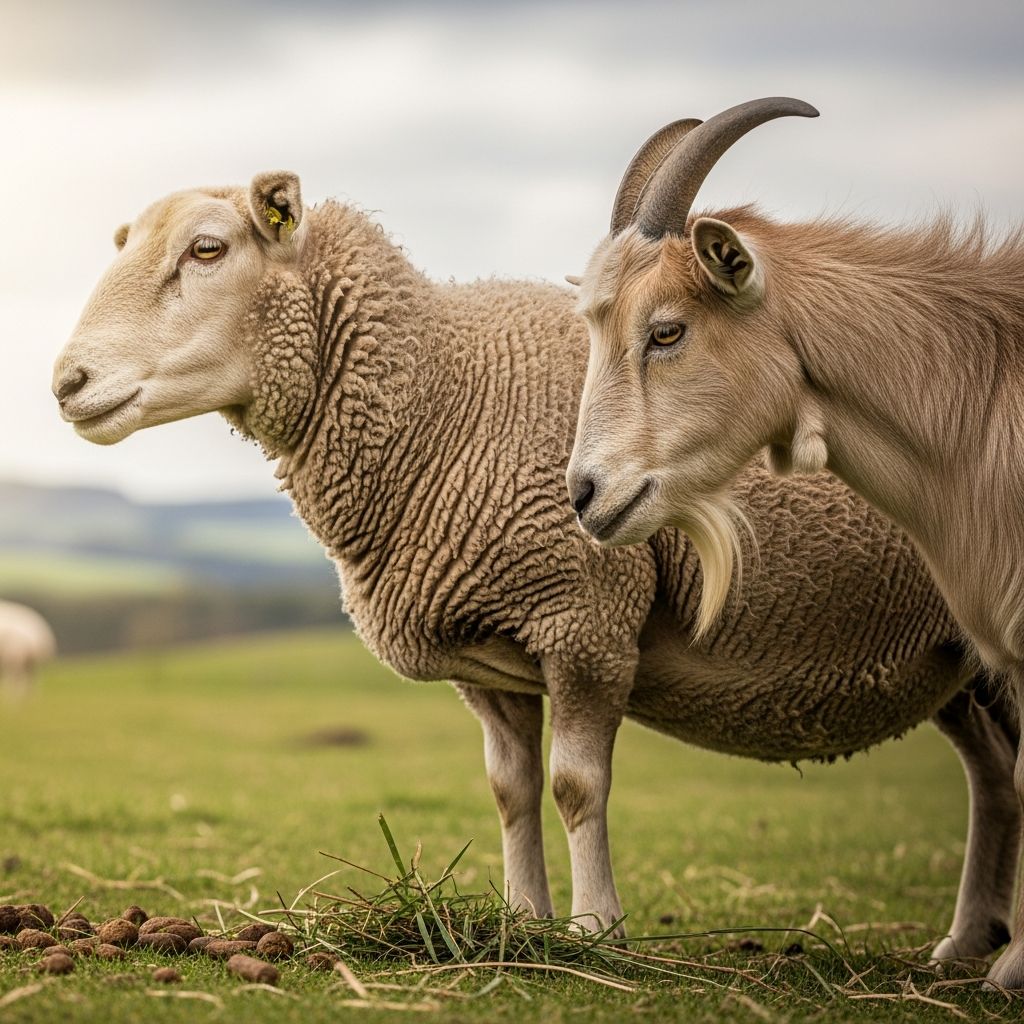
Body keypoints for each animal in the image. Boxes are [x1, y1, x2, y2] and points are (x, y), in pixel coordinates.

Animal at [52, 173, 1003, 954]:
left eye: (207, 249)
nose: (66, 382)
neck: (439, 395)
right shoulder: (488, 656)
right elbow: (509, 790)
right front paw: (521, 925)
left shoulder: (585, 619)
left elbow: (576, 787)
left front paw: (594, 932)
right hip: (955, 661)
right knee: (995, 771)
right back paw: (966, 946)